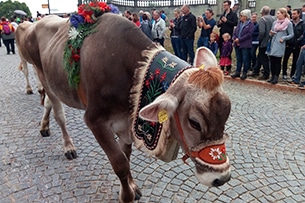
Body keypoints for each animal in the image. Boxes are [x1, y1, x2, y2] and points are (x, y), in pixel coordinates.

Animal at [16, 14, 230, 203]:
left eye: (227, 115)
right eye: (194, 123)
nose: (222, 178)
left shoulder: (126, 123)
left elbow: (126, 156)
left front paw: (132, 186)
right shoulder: (94, 120)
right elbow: (119, 163)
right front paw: (126, 196)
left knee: (48, 104)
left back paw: (44, 126)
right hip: (43, 75)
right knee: (58, 113)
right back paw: (68, 145)